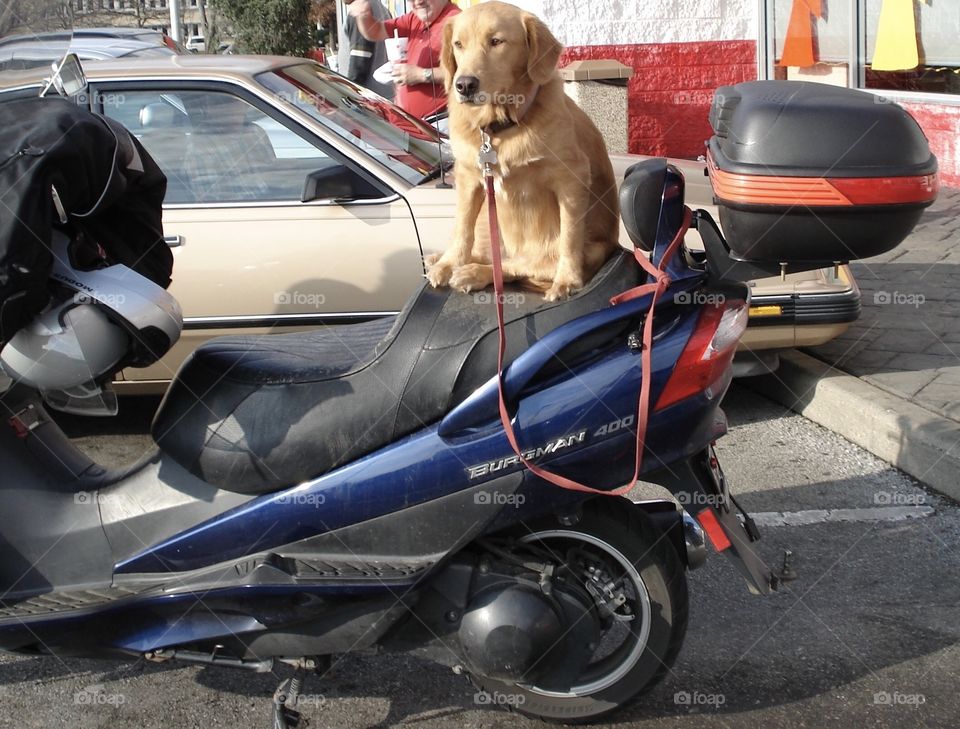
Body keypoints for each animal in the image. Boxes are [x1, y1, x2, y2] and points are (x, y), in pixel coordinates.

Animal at [424, 0, 620, 300]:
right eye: (458, 44)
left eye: (496, 41)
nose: (464, 84)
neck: (500, 127)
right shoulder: (469, 176)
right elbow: (462, 227)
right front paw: (448, 263)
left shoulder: (572, 178)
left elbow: (569, 239)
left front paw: (567, 279)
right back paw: (445, 261)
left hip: (589, 249)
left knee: (517, 265)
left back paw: (472, 273)